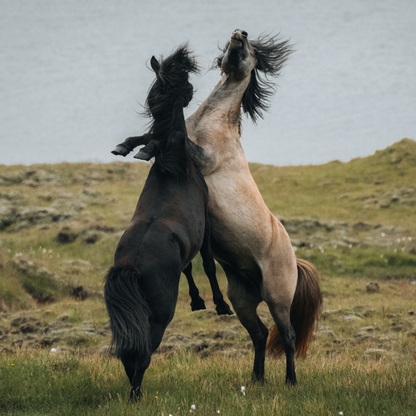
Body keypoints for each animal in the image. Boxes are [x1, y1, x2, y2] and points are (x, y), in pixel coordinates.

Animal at [105, 44, 231, 400]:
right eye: (184, 79)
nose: (191, 92)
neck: (173, 168)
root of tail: (131, 267)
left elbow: (188, 268)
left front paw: (199, 301)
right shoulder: (204, 231)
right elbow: (209, 266)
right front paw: (219, 305)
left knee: (130, 353)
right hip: (159, 316)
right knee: (143, 353)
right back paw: (137, 396)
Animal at [184, 29, 322, 386]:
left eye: (250, 49)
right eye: (234, 42)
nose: (239, 34)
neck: (211, 122)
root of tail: (294, 261)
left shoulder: (204, 158)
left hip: (276, 296)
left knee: (286, 336)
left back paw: (290, 381)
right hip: (243, 299)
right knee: (259, 334)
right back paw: (257, 378)